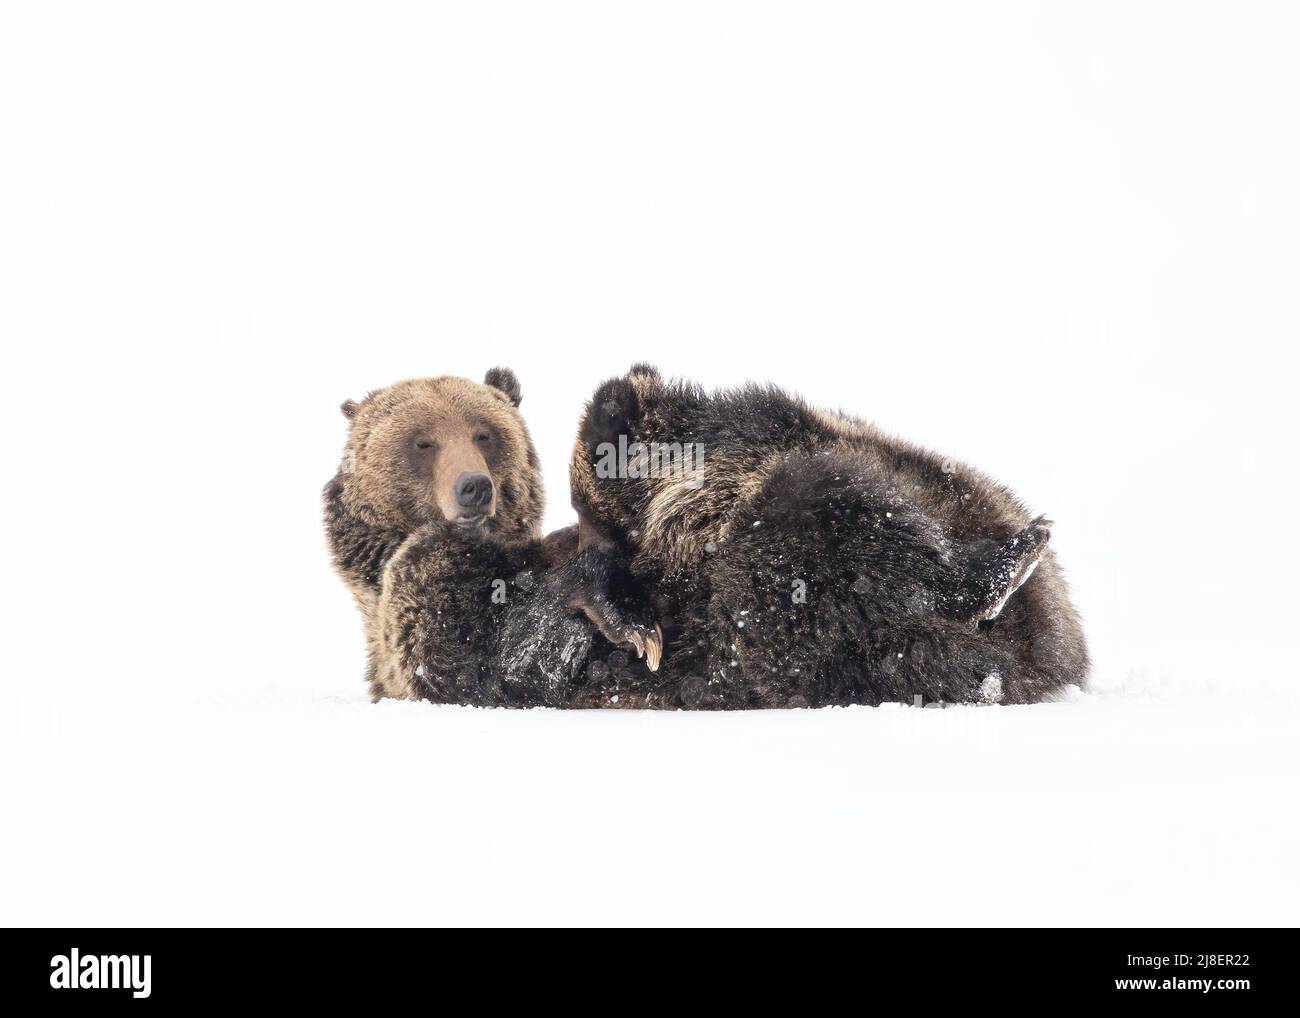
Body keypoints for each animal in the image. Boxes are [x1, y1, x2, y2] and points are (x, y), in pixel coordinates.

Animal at [319, 369, 655, 707]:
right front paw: (628, 620)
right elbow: (497, 658)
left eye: (483, 435)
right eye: (423, 442)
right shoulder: (415, 617)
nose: (474, 486)